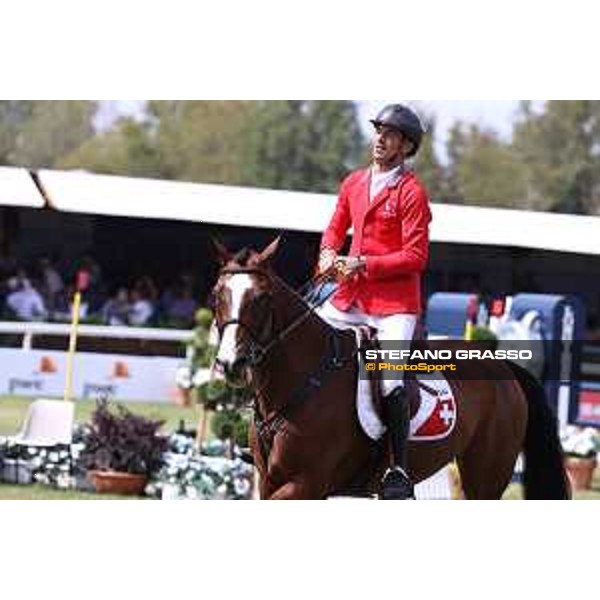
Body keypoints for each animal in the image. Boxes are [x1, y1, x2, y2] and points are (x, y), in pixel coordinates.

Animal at [210, 241, 568, 500]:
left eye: (261, 298)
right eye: (216, 296)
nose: (231, 363)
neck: (306, 378)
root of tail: (504, 366)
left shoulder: (304, 483)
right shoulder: (270, 482)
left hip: (486, 477)